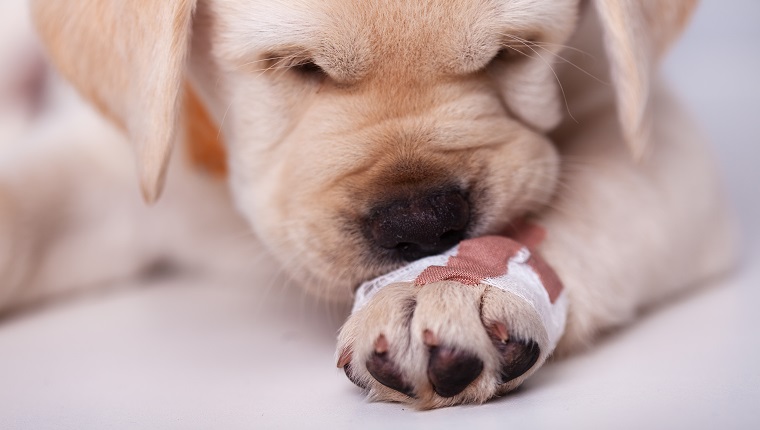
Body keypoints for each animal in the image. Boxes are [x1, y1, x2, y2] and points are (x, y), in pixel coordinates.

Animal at [1, 0, 736, 410]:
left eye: (512, 54)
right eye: (296, 66)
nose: (423, 222)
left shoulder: (655, 141)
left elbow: (584, 202)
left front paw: (451, 289)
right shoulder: (123, 162)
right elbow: (21, 208)